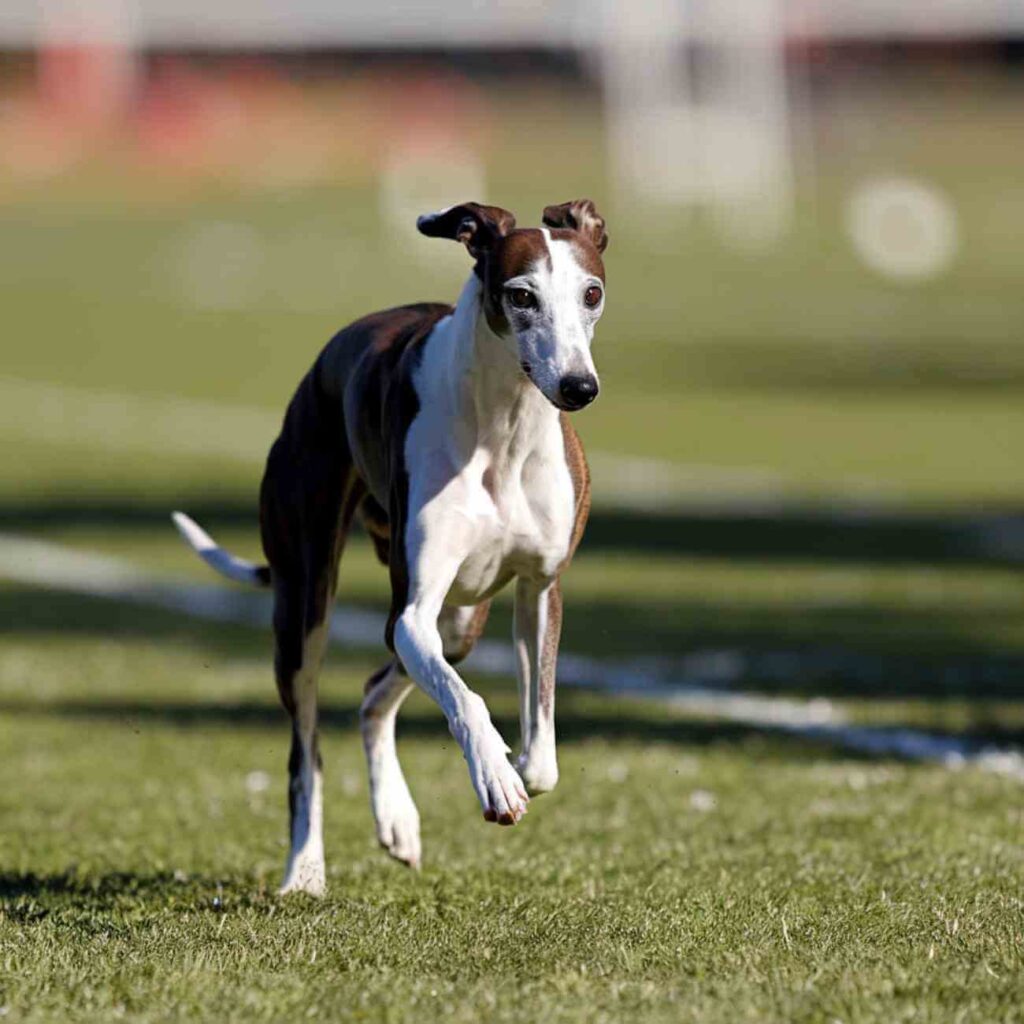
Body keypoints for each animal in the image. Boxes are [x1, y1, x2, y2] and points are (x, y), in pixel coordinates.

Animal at [173, 199, 606, 897]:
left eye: (591, 293)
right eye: (521, 296)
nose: (577, 387)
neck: (504, 428)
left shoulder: (541, 586)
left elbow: (541, 756)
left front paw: (513, 765)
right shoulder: (412, 611)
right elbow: (465, 699)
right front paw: (494, 775)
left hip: (460, 621)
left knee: (375, 694)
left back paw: (397, 820)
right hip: (305, 608)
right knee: (306, 749)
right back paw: (306, 869)